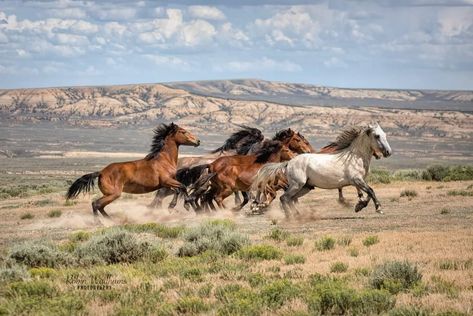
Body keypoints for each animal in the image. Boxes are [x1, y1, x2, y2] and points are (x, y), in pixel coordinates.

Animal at [66, 123, 199, 217]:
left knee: (100, 207)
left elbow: (178, 190)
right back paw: (100, 223)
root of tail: (101, 173)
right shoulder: (167, 181)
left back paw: (110, 220)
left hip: (109, 194)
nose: (198, 141)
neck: (164, 160)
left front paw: (178, 206)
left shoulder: (167, 184)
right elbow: (182, 187)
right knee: (96, 204)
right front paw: (183, 205)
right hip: (114, 194)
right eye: (183, 132)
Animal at [251, 123, 390, 217]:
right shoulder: (357, 180)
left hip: (305, 187)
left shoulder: (359, 181)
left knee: (289, 199)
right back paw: (289, 216)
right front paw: (378, 208)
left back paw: (297, 214)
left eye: (385, 135)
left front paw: (359, 206)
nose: (388, 152)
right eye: (377, 136)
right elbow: (371, 191)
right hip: (297, 185)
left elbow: (367, 193)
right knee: (284, 198)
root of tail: (289, 162)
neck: (355, 156)